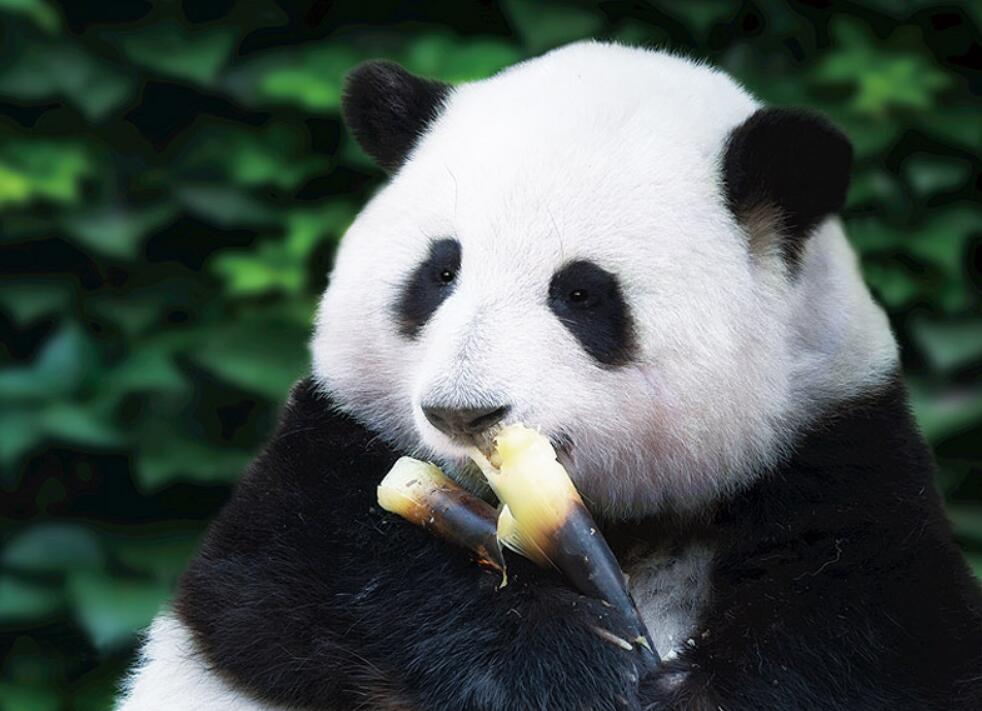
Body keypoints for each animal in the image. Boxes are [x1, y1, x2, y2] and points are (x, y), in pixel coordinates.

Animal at [117, 42, 982, 710]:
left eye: (581, 294)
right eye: (440, 272)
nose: (461, 413)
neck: (623, 519)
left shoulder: (836, 445)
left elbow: (859, 631)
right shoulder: (329, 456)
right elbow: (307, 579)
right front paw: (573, 666)